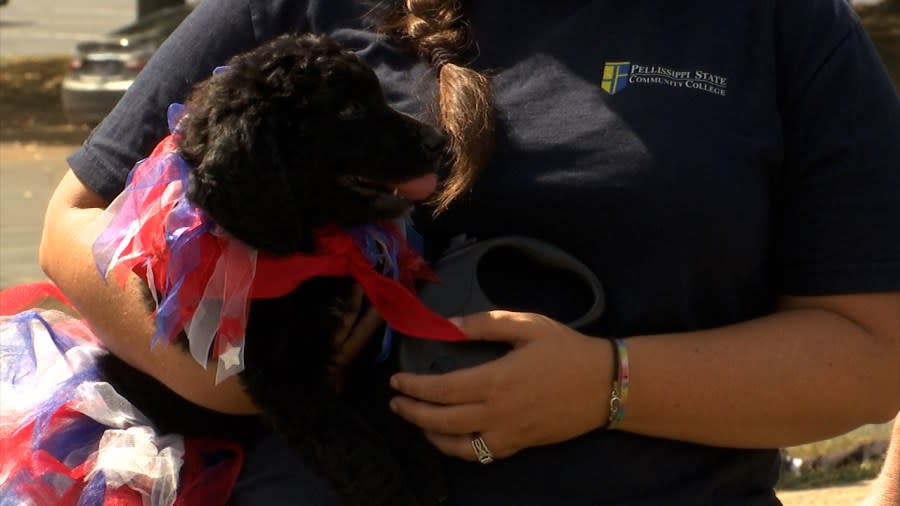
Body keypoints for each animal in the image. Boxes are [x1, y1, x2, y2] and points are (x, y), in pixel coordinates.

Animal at [96, 33, 448, 504]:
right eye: (350, 108)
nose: (439, 140)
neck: (306, 244)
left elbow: (390, 397)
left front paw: (423, 464)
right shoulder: (284, 375)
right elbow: (354, 446)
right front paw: (400, 491)